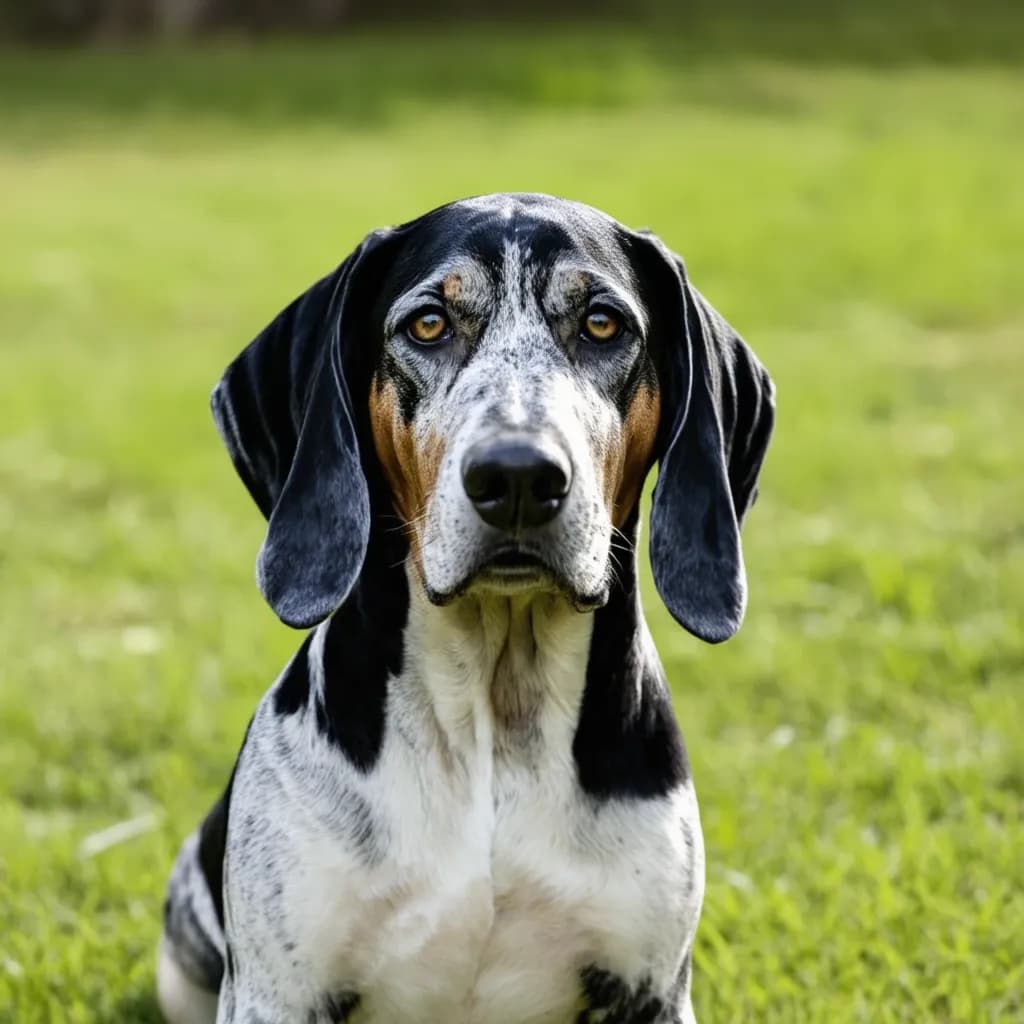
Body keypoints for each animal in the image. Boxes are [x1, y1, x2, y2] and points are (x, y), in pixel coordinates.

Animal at [155, 193, 770, 1024]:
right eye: (428, 323)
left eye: (602, 323)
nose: (517, 476)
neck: (495, 722)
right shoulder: (277, 995)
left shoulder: (652, 992)